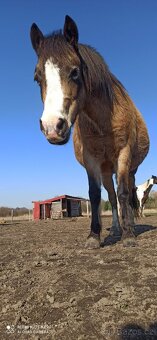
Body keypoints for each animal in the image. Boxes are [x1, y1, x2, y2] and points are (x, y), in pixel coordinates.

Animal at [29, 15, 150, 247]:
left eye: (75, 71)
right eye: (37, 78)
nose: (52, 127)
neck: (102, 123)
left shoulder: (124, 154)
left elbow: (123, 194)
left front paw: (129, 235)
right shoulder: (91, 160)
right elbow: (95, 195)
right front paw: (94, 236)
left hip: (130, 168)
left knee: (128, 192)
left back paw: (128, 226)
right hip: (106, 171)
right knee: (111, 197)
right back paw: (116, 229)